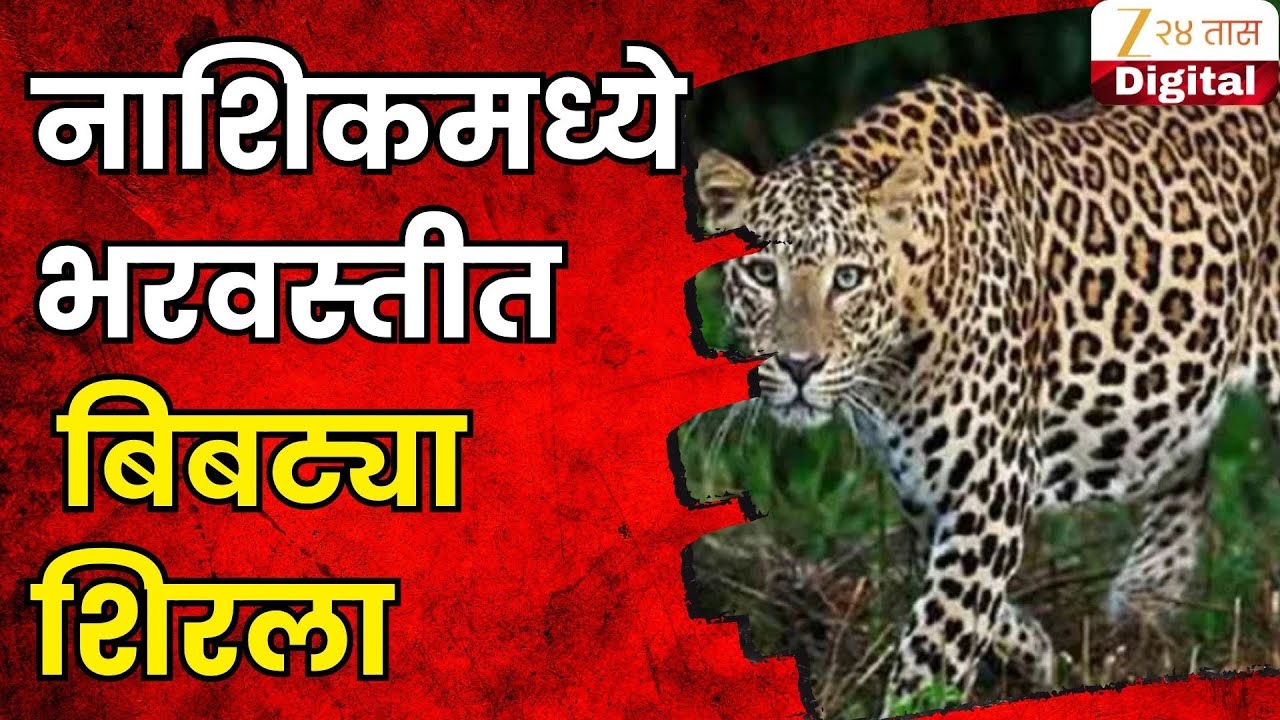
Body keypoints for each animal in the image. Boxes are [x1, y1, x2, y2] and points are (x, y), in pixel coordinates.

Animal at [693, 77, 1280, 706]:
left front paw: (916, 701)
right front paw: (1034, 652)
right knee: (1185, 459)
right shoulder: (927, 486)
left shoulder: (991, 479)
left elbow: (940, 632)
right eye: (762, 273)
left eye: (847, 278)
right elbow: (966, 600)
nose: (799, 365)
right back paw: (1148, 590)